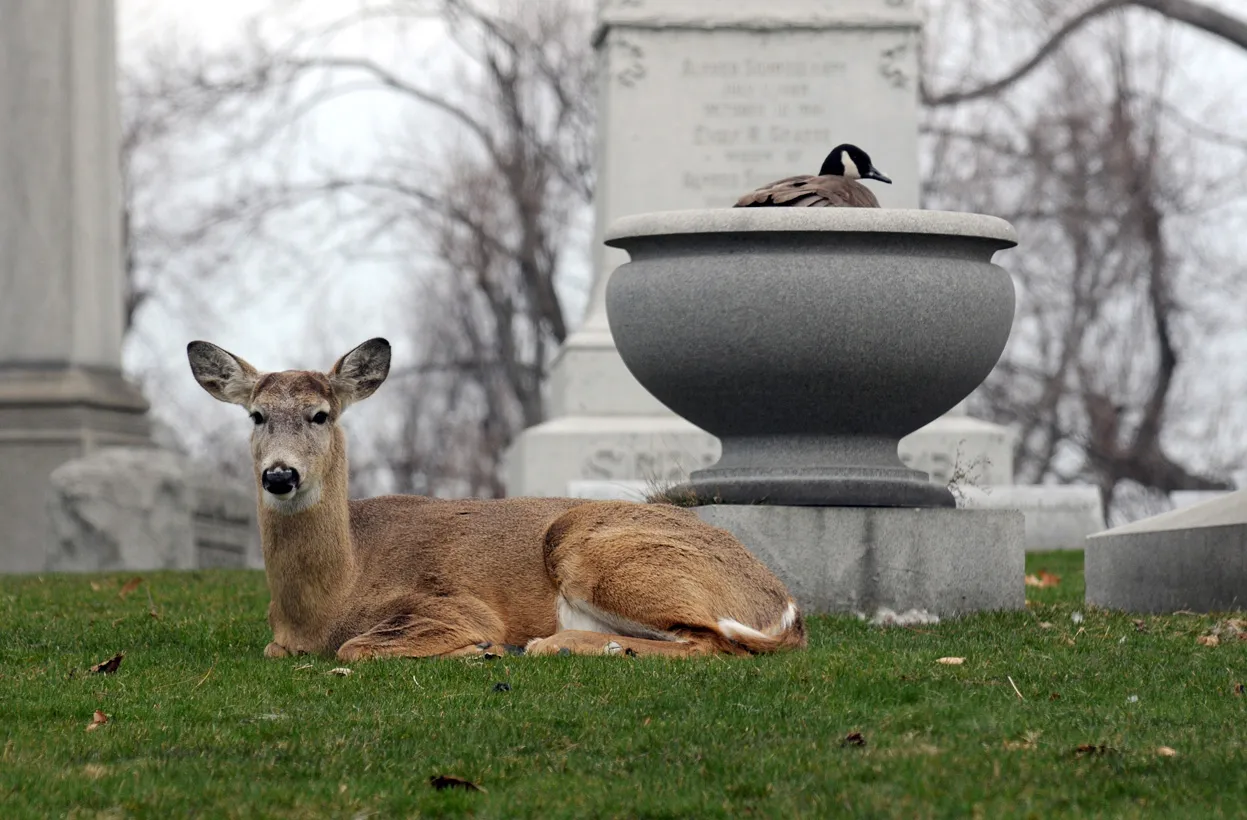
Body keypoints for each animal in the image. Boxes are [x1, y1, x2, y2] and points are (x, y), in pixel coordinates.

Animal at [186, 337, 806, 661]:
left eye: (321, 414)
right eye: (256, 415)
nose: (280, 475)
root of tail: (785, 607)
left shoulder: (453, 603)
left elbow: (355, 648)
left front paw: (479, 649)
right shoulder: (280, 641)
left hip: (596, 549)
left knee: (712, 644)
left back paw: (548, 645)